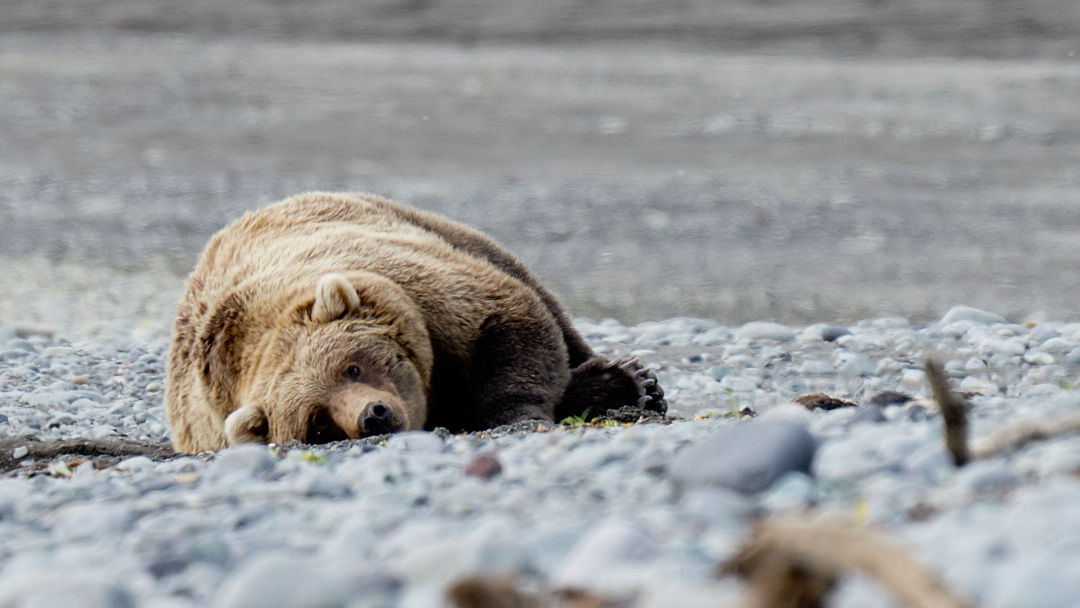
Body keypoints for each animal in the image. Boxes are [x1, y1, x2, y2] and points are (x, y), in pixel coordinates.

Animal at [165, 192, 666, 453]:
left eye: (352, 366)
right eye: (319, 422)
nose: (373, 416)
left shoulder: (422, 292)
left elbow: (511, 320)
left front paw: (520, 416)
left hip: (439, 232)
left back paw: (631, 380)